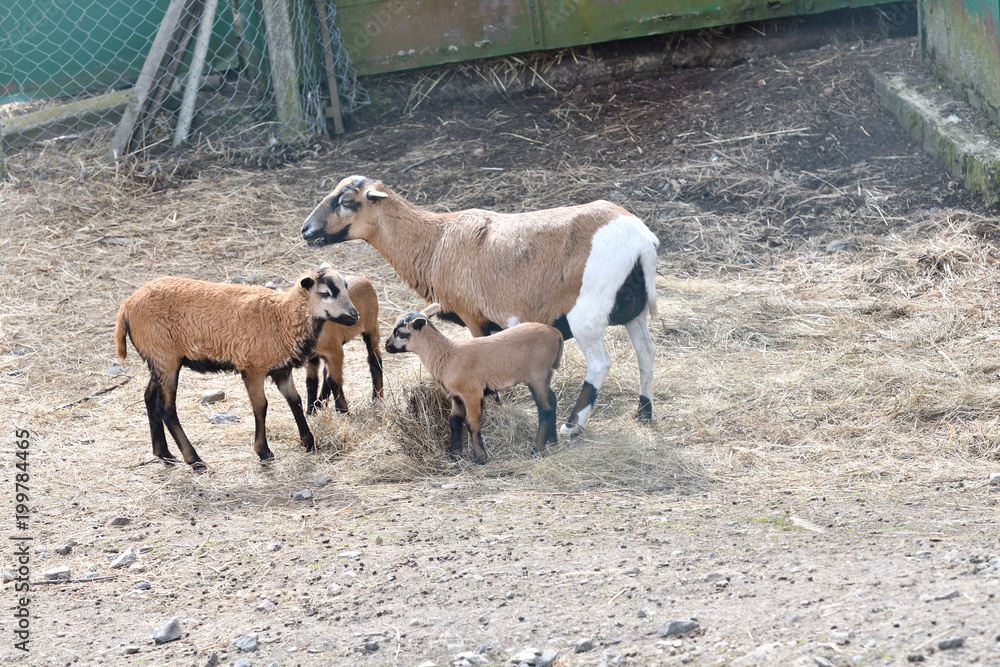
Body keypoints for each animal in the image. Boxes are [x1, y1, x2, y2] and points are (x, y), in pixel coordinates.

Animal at [114, 268, 359, 469]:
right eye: (326, 293)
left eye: (346, 288)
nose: (354, 316)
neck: (282, 317)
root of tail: (126, 306)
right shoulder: (253, 367)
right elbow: (261, 406)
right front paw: (264, 452)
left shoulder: (281, 369)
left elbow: (295, 400)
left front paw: (309, 442)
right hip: (164, 356)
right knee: (166, 408)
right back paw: (194, 460)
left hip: (159, 359)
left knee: (149, 398)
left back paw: (164, 454)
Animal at [305, 274, 384, 414]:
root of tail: (363, 278)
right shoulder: (313, 356)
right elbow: (312, 382)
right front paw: (311, 411)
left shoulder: (335, 351)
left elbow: (334, 380)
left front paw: (343, 410)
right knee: (325, 374)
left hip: (372, 326)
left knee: (374, 359)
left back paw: (377, 398)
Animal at [384, 303, 563, 464]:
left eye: (400, 332)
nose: (386, 346)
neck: (447, 355)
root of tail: (556, 334)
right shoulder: (456, 396)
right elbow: (454, 421)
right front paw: (455, 455)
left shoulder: (472, 393)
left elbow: (472, 423)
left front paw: (480, 458)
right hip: (545, 375)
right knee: (553, 401)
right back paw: (553, 441)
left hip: (537, 375)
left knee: (545, 410)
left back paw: (537, 449)